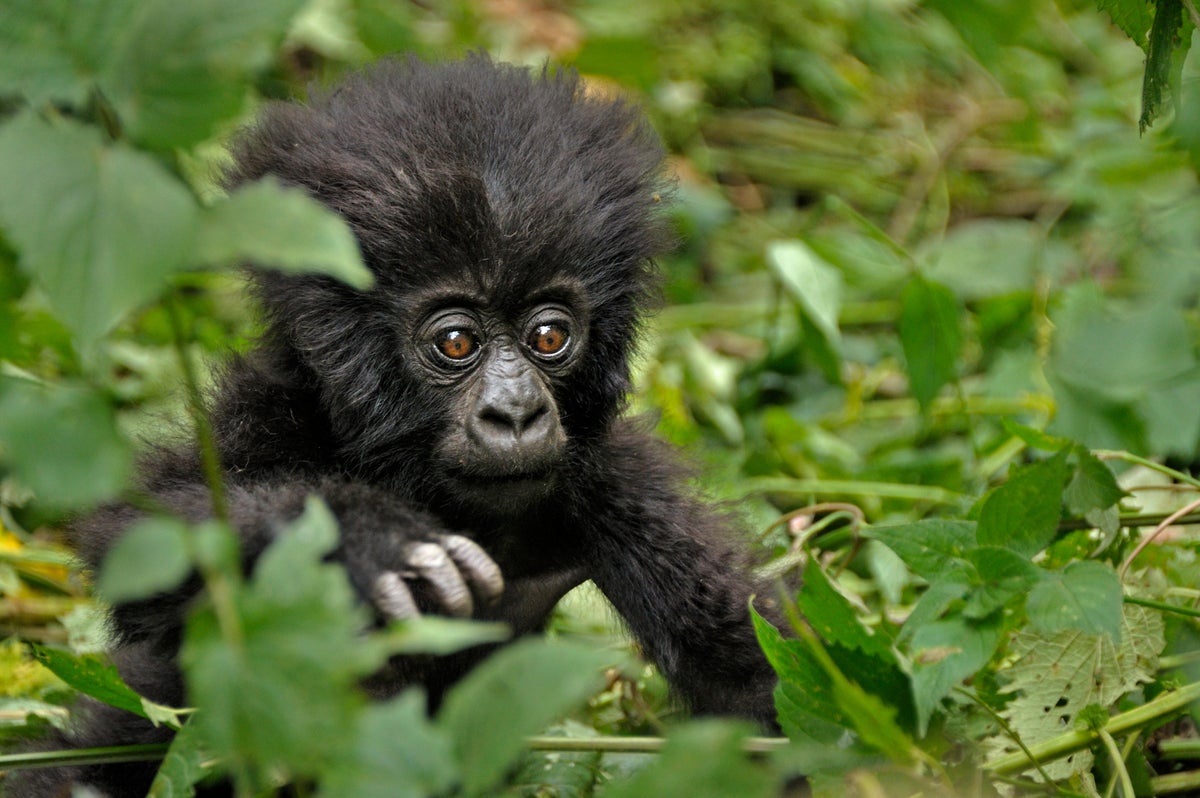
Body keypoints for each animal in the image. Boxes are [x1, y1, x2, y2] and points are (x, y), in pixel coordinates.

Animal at [11, 52, 777, 792]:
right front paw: (368, 538)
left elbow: (758, 682)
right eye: (457, 342)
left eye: (550, 335)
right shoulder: (269, 412)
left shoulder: (615, 478)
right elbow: (143, 538)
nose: (517, 413)